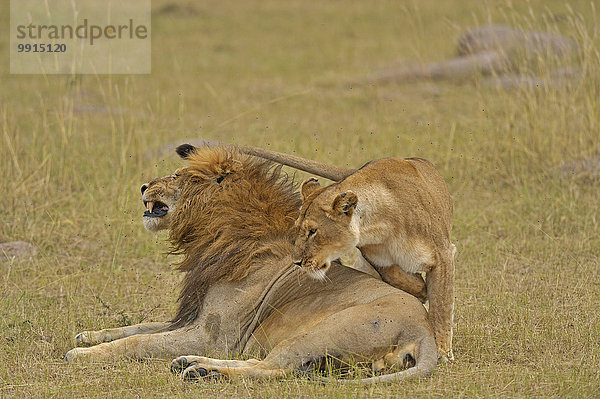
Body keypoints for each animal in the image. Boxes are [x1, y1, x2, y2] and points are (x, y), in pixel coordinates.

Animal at [64, 145, 436, 382]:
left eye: (177, 175)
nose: (143, 186)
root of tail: (425, 331)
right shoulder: (191, 319)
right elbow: (139, 327)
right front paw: (88, 335)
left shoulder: (211, 335)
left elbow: (138, 342)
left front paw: (81, 354)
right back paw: (190, 364)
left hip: (318, 332)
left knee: (273, 368)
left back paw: (202, 371)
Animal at [290, 159, 454, 362]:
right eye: (297, 228)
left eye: (313, 231)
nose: (296, 261)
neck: (383, 224)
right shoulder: (373, 256)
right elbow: (394, 275)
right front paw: (420, 288)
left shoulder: (443, 255)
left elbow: (441, 306)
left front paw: (442, 351)